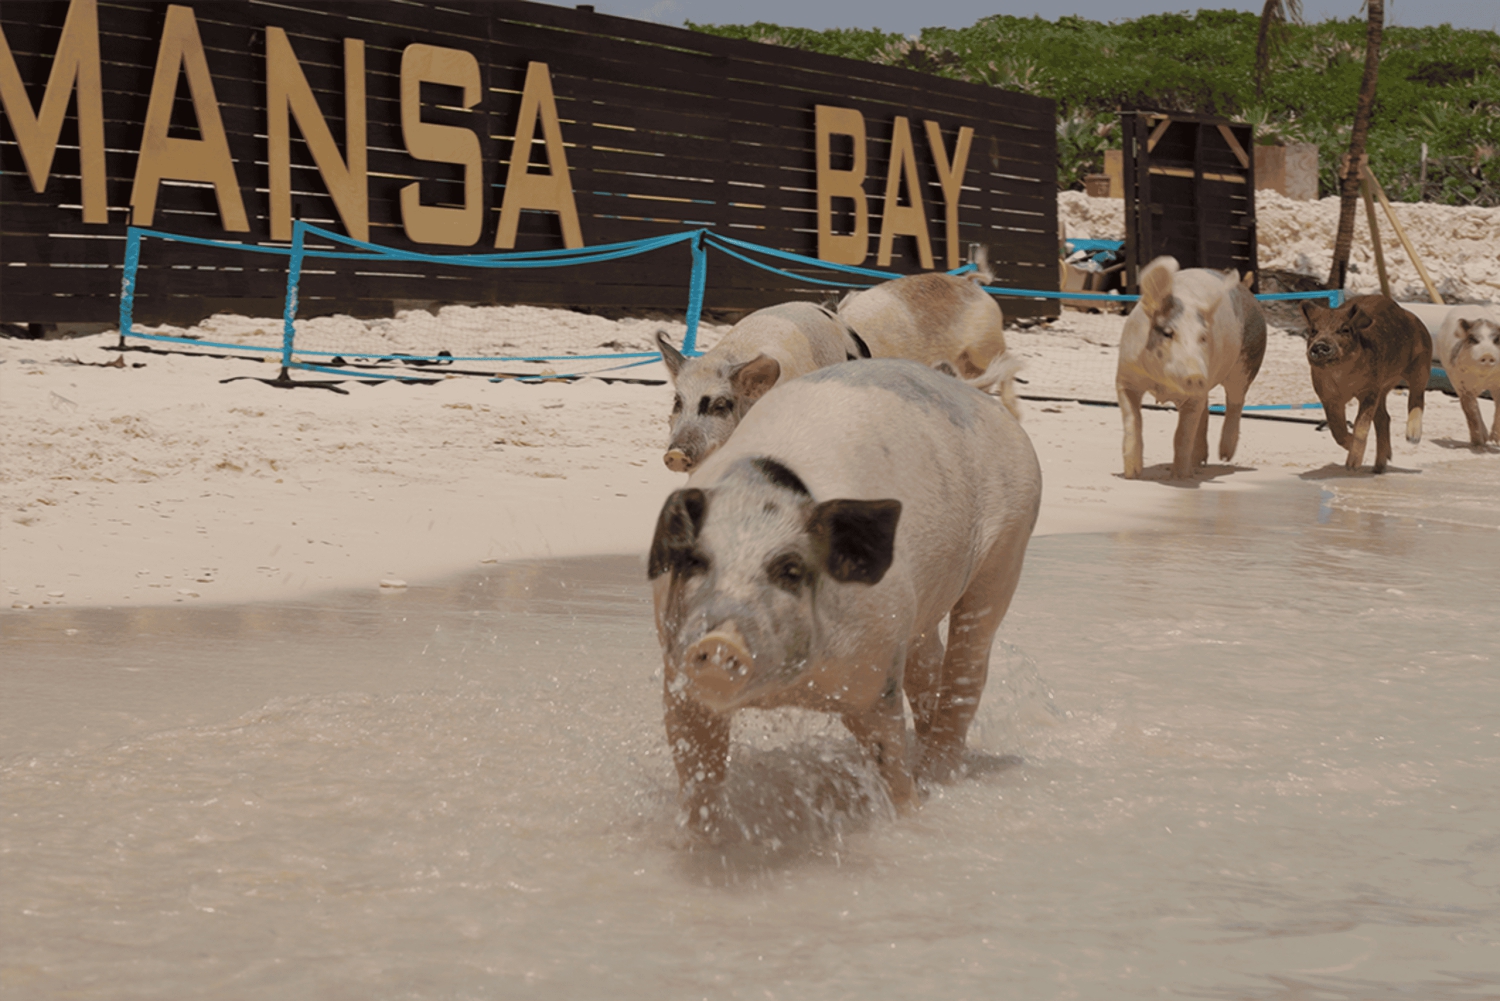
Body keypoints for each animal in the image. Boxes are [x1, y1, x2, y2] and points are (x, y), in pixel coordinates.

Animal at [648, 359, 1042, 836]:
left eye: (790, 569)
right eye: (695, 561)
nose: (718, 642)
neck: (787, 688)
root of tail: (976, 393)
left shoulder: (876, 667)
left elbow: (888, 759)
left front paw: (911, 816)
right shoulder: (677, 674)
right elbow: (698, 770)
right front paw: (702, 839)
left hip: (1010, 541)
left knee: (968, 665)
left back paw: (938, 776)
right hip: (921, 606)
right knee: (928, 664)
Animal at [1115, 256, 1268, 479]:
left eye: (1203, 337)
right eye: (1168, 333)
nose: (1196, 375)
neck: (1162, 385)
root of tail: (1246, 289)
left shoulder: (1195, 393)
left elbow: (1182, 434)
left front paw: (1180, 477)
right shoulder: (1126, 377)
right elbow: (1132, 421)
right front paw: (1131, 474)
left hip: (1248, 360)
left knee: (1235, 400)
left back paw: (1224, 456)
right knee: (1206, 409)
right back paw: (1199, 462)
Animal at [1300, 295, 1432, 473]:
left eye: (1345, 329)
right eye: (1313, 331)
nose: (1320, 345)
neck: (1342, 376)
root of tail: (1414, 318)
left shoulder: (1369, 390)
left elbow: (1361, 424)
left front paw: (1352, 466)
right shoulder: (1328, 396)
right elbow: (1337, 429)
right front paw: (1350, 452)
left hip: (1421, 364)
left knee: (1417, 397)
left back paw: (1412, 438)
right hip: (1383, 388)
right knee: (1384, 418)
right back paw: (1379, 467)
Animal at [1433, 305, 1500, 446]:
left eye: (1496, 340)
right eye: (1473, 339)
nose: (1487, 355)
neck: (1482, 379)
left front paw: (1494, 442)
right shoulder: (1461, 383)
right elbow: (1470, 409)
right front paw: (1478, 443)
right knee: (1473, 405)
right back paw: (1483, 439)